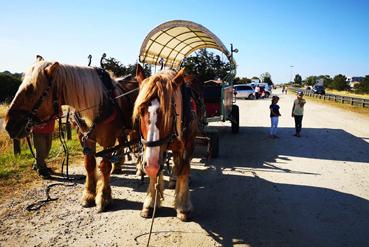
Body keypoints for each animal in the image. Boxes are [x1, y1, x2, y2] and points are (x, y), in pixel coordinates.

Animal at [3, 56, 139, 212]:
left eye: (31, 89)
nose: (8, 125)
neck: (101, 102)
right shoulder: (85, 138)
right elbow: (89, 165)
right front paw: (89, 194)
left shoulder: (108, 139)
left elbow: (104, 166)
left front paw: (104, 197)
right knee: (122, 142)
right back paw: (118, 165)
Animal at [132, 68, 198, 222]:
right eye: (141, 111)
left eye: (169, 113)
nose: (151, 165)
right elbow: (155, 174)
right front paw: (150, 203)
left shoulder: (188, 146)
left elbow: (184, 170)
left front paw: (183, 206)